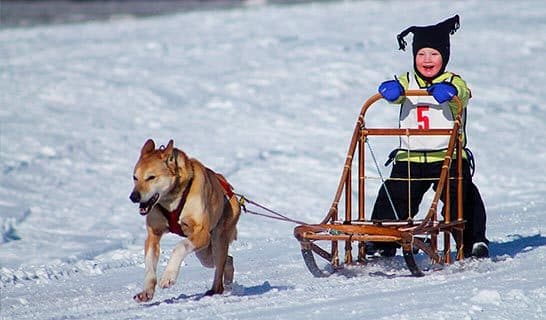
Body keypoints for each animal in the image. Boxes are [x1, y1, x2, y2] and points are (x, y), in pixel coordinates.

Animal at [129, 139, 239, 302]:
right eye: (135, 177)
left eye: (151, 177)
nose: (133, 196)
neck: (172, 199)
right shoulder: (153, 235)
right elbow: (149, 265)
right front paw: (147, 291)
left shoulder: (202, 233)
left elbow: (179, 247)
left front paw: (168, 276)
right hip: (205, 254)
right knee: (229, 260)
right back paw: (229, 285)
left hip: (217, 240)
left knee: (220, 270)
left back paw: (215, 290)